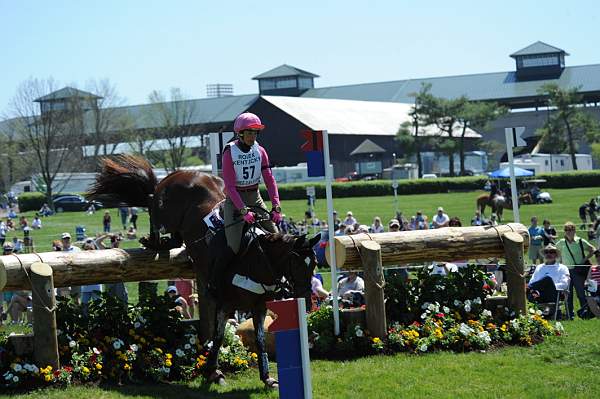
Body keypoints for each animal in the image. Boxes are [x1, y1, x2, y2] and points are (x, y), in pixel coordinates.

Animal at [86, 155, 318, 388]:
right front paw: (213, 371)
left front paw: (267, 378)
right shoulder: (226, 303)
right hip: (166, 209)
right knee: (153, 205)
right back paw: (152, 240)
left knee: (175, 236)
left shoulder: (258, 305)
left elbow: (260, 339)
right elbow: (218, 336)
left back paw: (161, 242)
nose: (307, 300)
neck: (257, 259)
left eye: (314, 264)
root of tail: (180, 173)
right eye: (297, 263)